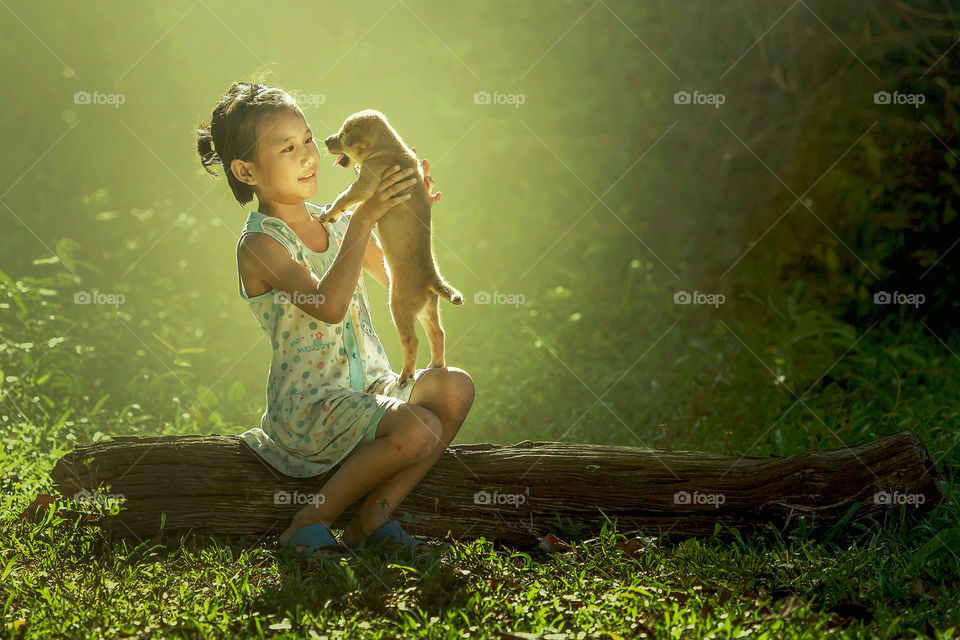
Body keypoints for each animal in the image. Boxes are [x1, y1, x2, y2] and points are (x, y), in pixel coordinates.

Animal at [322, 109, 464, 384]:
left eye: (343, 135)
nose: (325, 140)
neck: (388, 150)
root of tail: (432, 276)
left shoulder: (364, 184)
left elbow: (343, 197)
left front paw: (329, 214)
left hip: (399, 308)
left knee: (412, 341)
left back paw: (406, 375)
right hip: (427, 310)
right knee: (438, 334)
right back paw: (435, 365)